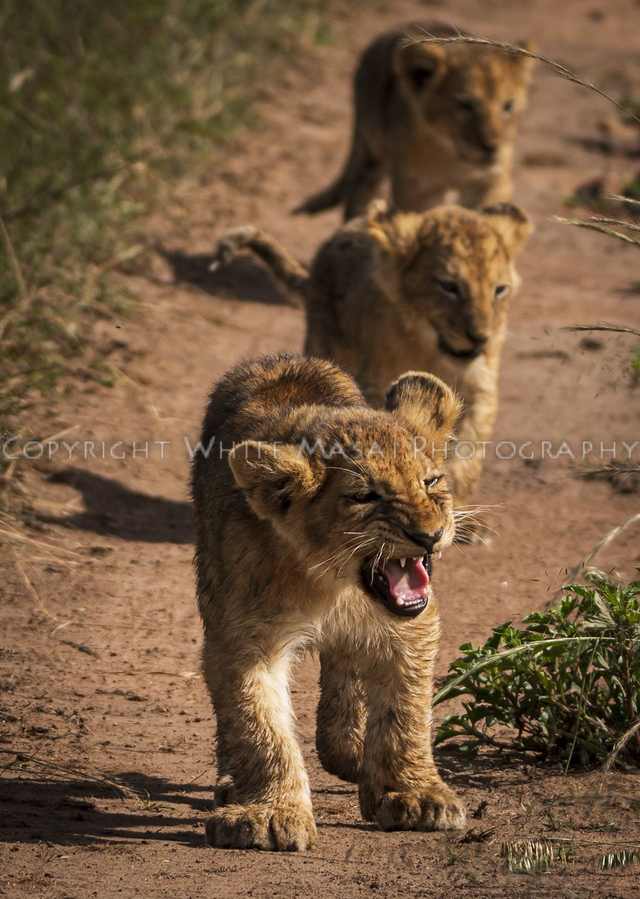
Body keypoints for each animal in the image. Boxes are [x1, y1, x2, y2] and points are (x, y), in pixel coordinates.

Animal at [191, 353, 465, 850]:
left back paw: (348, 750)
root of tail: (282, 359)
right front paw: (269, 815)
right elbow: (258, 724)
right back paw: (232, 783)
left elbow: (405, 713)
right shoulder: (242, 637)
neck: (328, 583)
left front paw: (412, 794)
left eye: (430, 481)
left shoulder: (411, 626)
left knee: (344, 669)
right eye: (365, 496)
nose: (430, 535)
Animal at [209, 200, 531, 509]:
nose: (481, 338)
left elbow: (467, 451)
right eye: (448, 286)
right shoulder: (376, 381)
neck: (429, 346)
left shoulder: (479, 386)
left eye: (500, 291)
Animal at [294, 22, 536, 220]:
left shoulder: (490, 180)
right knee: (359, 189)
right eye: (464, 105)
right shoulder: (415, 188)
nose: (491, 147)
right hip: (372, 145)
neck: (453, 158)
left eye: (508, 106)